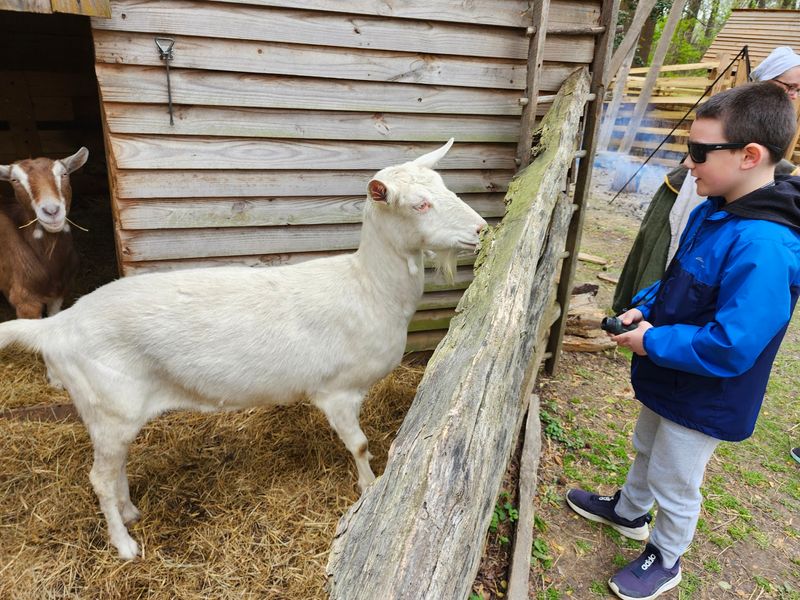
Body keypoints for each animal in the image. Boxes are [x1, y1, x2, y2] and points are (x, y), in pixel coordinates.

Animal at [0, 139, 487, 559]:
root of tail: (57, 326)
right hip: (108, 401)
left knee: (114, 467)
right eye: (419, 204)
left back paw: (131, 512)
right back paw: (125, 546)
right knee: (99, 479)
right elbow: (361, 445)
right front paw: (370, 487)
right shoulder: (336, 391)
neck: (366, 287)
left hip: (108, 411)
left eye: (444, 187)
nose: (481, 229)